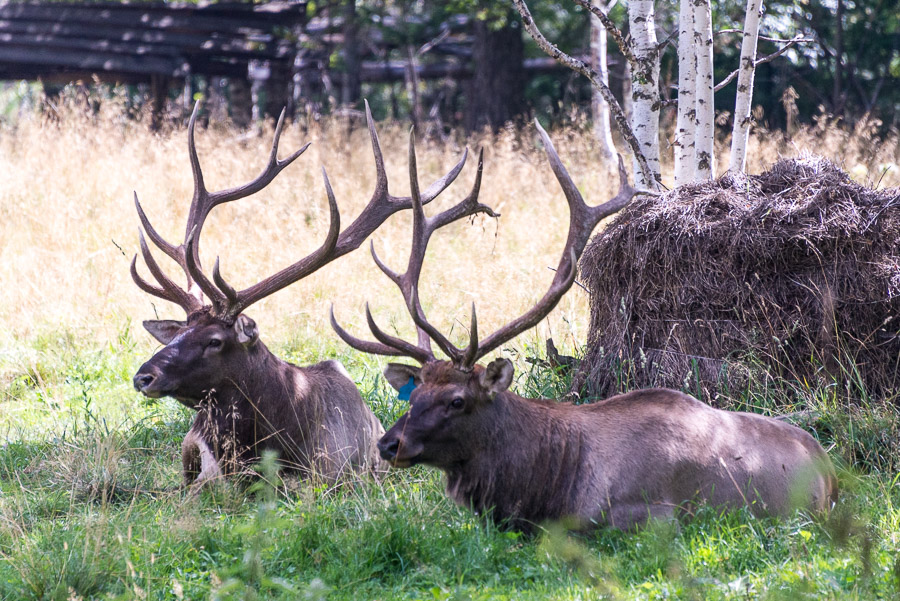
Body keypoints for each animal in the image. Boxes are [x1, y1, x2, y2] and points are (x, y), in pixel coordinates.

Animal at [330, 120, 836, 528]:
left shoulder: (652, 516)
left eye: (457, 400)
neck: (547, 487)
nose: (388, 444)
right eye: (415, 394)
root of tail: (831, 468)